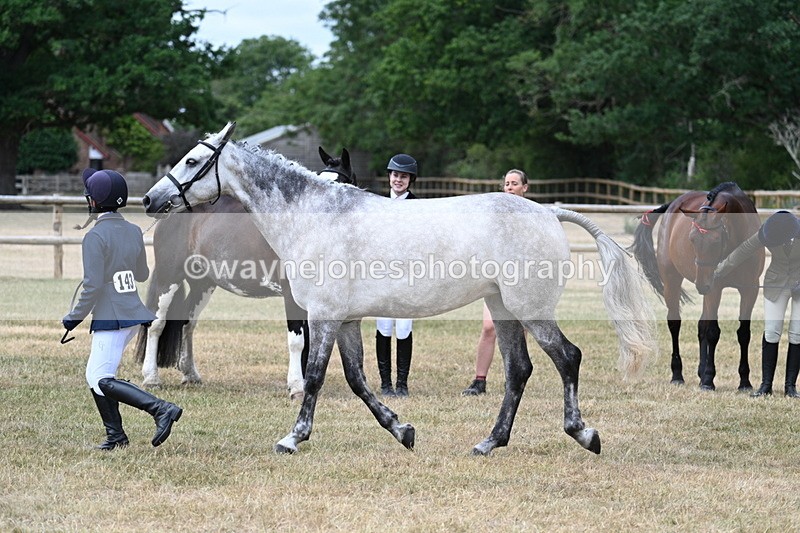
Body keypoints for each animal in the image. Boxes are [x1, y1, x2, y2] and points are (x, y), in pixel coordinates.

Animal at [133, 146, 357, 400]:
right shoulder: (291, 296)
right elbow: (297, 341)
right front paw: (297, 387)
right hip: (168, 276)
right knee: (157, 324)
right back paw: (151, 378)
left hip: (203, 285)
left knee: (187, 323)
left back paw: (190, 374)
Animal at [629, 182, 765, 391]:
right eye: (692, 239)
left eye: (716, 240)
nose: (702, 284)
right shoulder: (715, 289)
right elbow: (713, 332)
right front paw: (709, 379)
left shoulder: (749, 289)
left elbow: (743, 333)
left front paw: (744, 381)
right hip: (673, 281)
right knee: (675, 323)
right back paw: (678, 374)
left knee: (702, 325)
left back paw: (700, 373)